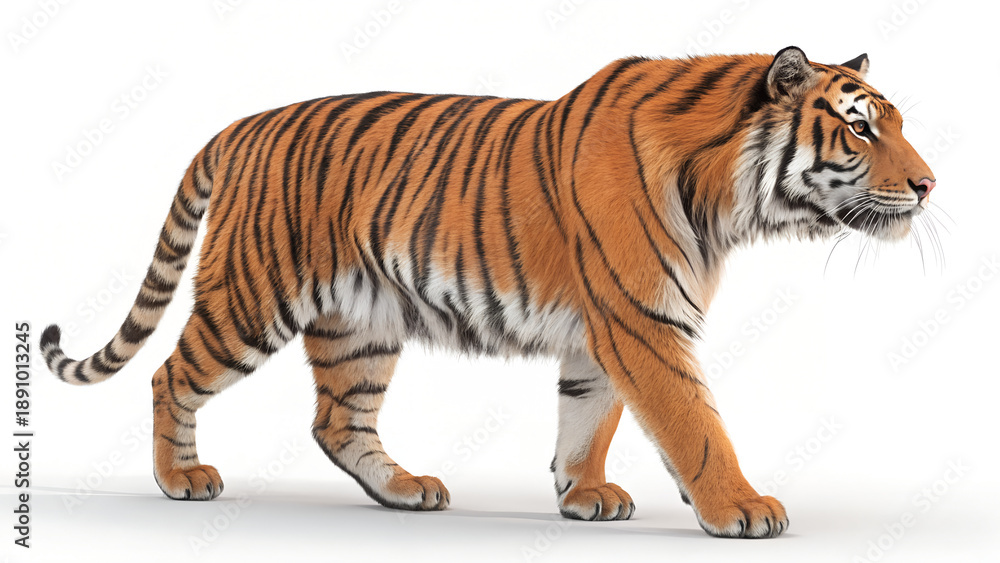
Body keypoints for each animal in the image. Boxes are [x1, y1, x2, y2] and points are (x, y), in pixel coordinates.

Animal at [40, 46, 935, 538]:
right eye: (860, 128)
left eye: (892, 123)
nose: (930, 184)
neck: (728, 198)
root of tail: (241, 125)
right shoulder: (641, 322)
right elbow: (693, 423)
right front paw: (741, 507)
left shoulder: (605, 330)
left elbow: (589, 418)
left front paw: (584, 494)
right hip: (252, 298)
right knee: (170, 373)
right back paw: (181, 477)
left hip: (360, 322)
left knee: (337, 420)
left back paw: (406, 490)